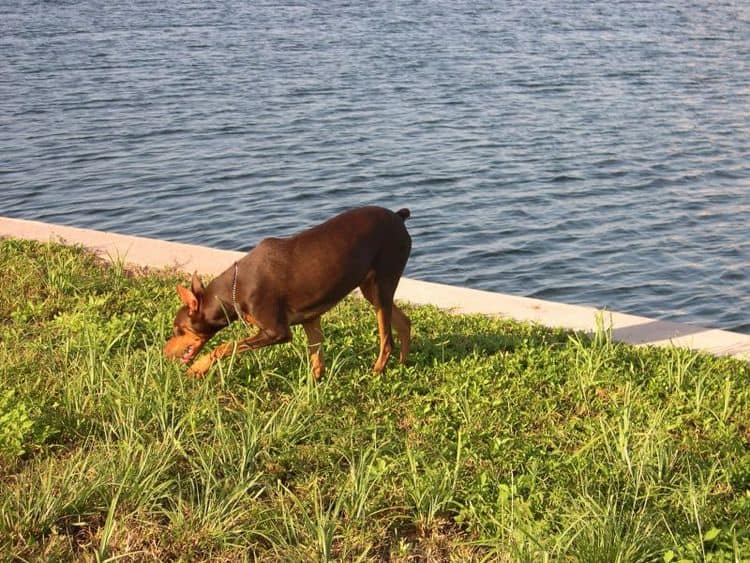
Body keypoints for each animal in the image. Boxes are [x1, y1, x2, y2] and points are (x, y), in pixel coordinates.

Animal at [163, 207, 418, 378]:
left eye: (177, 329)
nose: (164, 353)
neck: (235, 289)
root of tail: (398, 216)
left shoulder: (276, 332)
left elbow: (225, 346)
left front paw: (198, 367)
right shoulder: (310, 319)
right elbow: (316, 360)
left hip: (382, 284)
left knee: (387, 340)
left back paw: (377, 371)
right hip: (371, 289)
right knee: (404, 323)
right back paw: (404, 364)